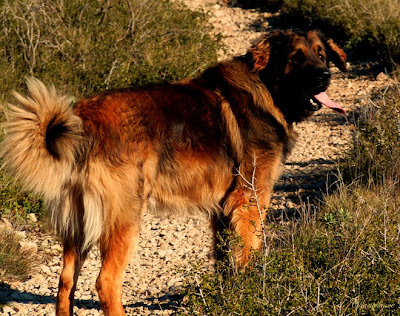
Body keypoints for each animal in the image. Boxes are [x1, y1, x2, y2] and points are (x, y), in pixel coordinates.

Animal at [1, 30, 346, 316]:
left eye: (321, 54)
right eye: (296, 57)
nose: (325, 76)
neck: (267, 89)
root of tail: (83, 120)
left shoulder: (223, 211)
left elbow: (225, 262)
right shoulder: (249, 202)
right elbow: (250, 256)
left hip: (79, 227)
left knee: (65, 281)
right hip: (125, 220)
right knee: (106, 282)